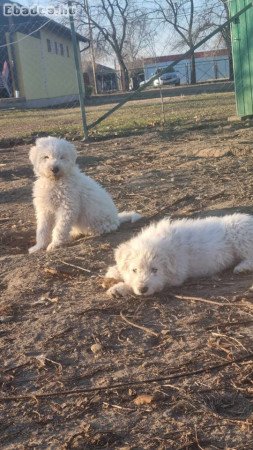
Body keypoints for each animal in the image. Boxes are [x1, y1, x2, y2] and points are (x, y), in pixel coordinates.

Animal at [105, 214, 253, 298]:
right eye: (134, 270)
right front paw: (114, 271)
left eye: (155, 270)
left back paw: (242, 267)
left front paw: (120, 288)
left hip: (239, 234)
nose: (142, 289)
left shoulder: (176, 276)